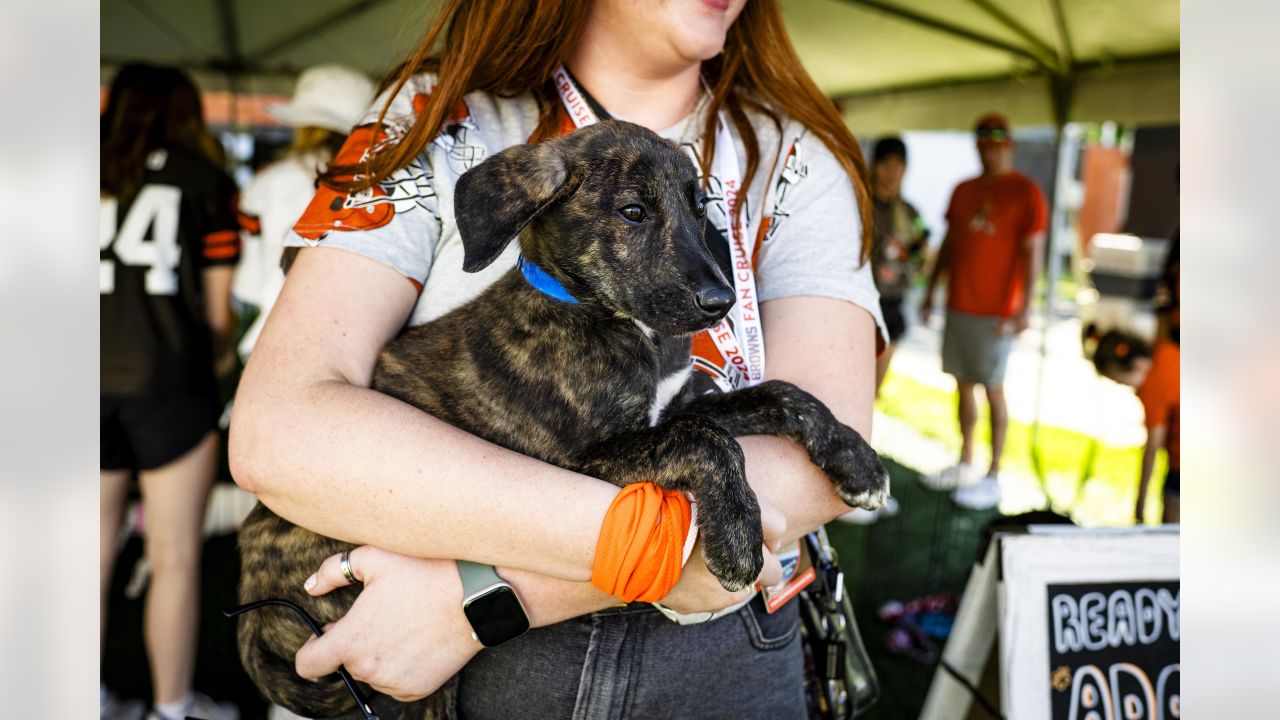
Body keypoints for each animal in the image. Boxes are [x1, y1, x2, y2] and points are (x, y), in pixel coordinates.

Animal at [235, 120, 885, 712]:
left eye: (699, 207)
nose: (722, 302)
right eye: (632, 211)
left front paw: (857, 462)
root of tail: (249, 603)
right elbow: (706, 440)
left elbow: (780, 393)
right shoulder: (580, 460)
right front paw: (737, 538)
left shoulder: (681, 403)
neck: (624, 327)